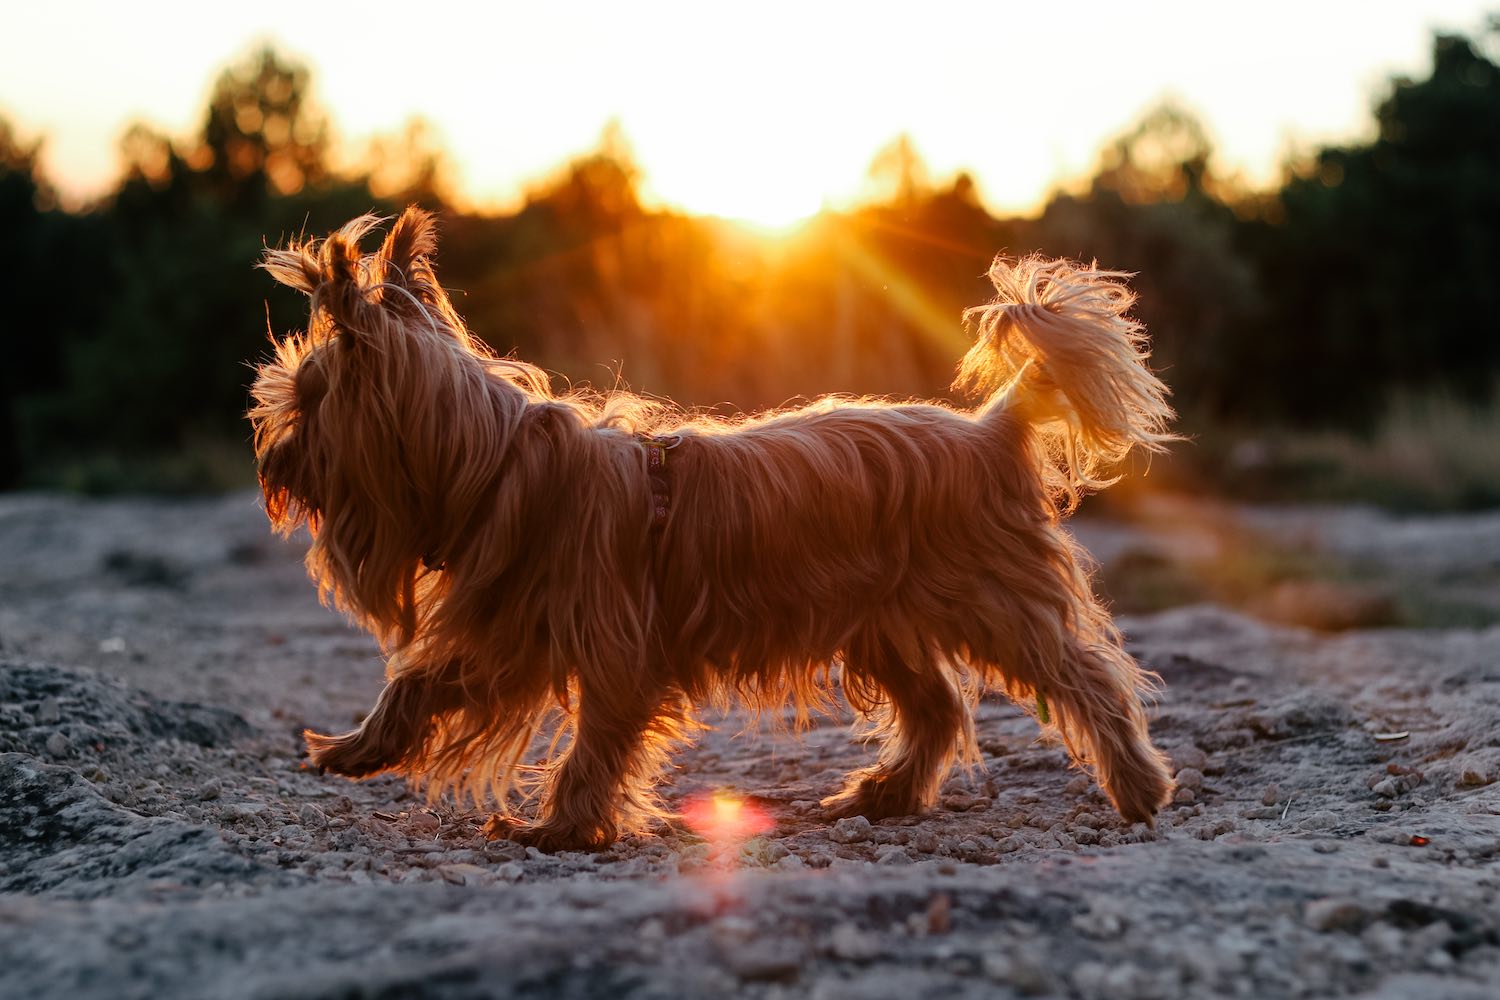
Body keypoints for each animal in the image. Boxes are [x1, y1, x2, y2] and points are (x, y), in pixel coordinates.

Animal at [252, 206, 1176, 851]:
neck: (498, 469)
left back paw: (1138, 786)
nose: (270, 455)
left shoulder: (614, 649)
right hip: (883, 621)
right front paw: (356, 748)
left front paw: (560, 828)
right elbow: (415, 686)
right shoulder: (509, 632)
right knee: (939, 708)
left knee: (1086, 679)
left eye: (305, 397)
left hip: (992, 600)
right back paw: (886, 794)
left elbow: (595, 745)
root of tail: (991, 428)